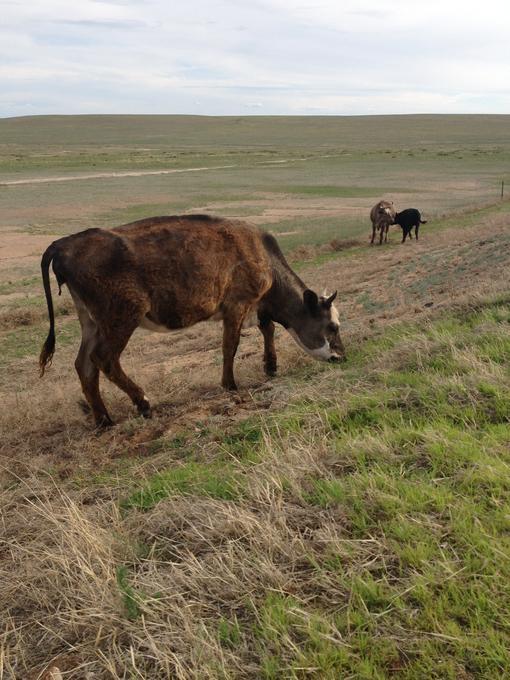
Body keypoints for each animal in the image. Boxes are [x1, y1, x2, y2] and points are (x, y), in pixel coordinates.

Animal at [37, 215, 344, 428]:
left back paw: (104, 420)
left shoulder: (256, 305)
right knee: (104, 359)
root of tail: (64, 243)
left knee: (84, 365)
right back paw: (142, 402)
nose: (342, 356)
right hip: (121, 317)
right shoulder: (237, 305)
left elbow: (267, 329)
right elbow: (230, 345)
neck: (262, 255)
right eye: (332, 326)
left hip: (91, 322)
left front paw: (270, 366)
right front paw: (230, 384)